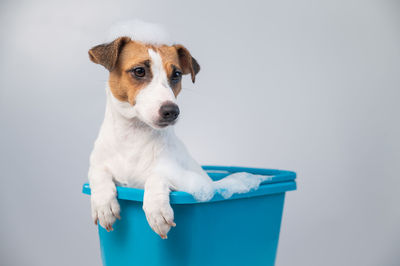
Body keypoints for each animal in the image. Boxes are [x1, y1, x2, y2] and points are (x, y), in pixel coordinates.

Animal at [86, 23, 216, 239]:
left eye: (177, 75)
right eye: (139, 71)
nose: (171, 111)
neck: (132, 137)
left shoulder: (178, 175)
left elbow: (157, 176)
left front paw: (156, 208)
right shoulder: (98, 163)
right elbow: (98, 172)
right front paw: (103, 204)